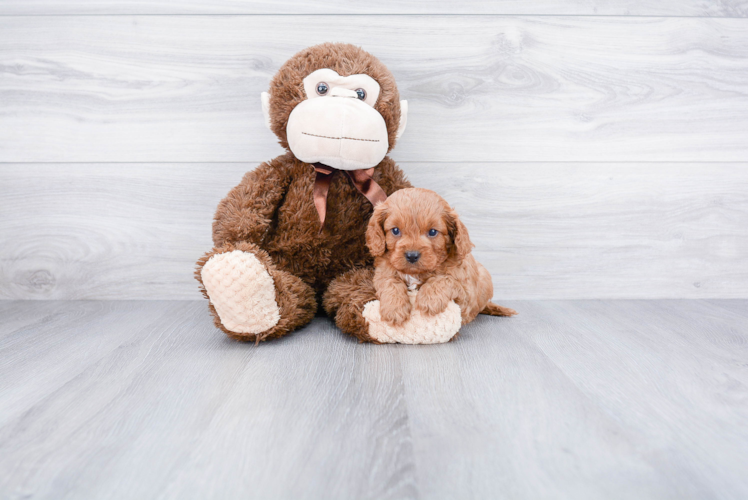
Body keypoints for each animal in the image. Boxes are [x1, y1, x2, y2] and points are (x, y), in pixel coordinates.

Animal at [366, 188, 516, 328]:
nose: (412, 255)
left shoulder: (466, 299)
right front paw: (394, 308)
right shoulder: (383, 271)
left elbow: (446, 279)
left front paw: (429, 299)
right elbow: (390, 281)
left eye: (433, 232)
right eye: (395, 230)